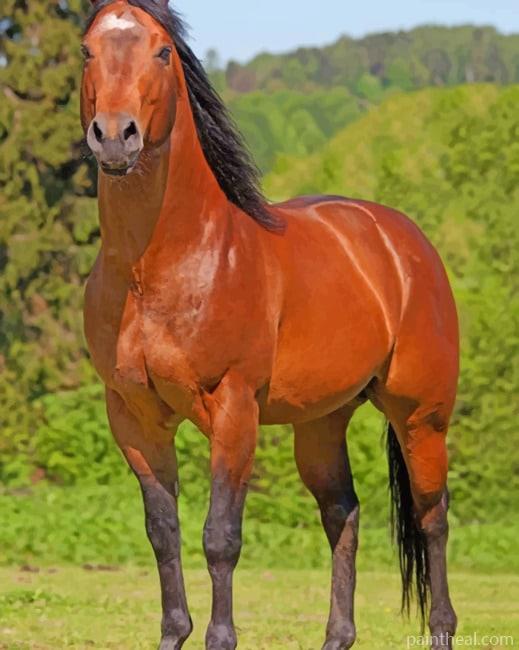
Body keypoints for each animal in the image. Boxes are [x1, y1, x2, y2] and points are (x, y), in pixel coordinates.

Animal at [80, 1, 459, 648]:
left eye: (162, 51)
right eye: (86, 50)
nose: (113, 135)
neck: (158, 267)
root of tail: (405, 241)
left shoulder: (234, 410)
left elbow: (220, 537)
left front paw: (221, 637)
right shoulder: (133, 417)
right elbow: (163, 532)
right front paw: (175, 633)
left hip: (422, 417)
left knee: (431, 517)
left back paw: (441, 629)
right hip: (322, 423)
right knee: (343, 513)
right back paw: (337, 635)